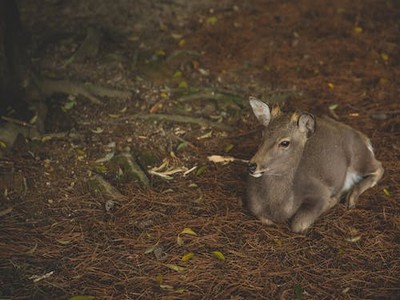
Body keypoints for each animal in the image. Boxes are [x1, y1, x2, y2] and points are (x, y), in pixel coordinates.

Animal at [245, 97, 382, 233]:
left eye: (285, 142)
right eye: (263, 135)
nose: (252, 166)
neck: (279, 208)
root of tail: (364, 138)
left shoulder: (320, 191)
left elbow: (298, 224)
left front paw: (333, 200)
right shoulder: (253, 205)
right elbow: (264, 219)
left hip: (359, 157)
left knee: (379, 167)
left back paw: (351, 199)